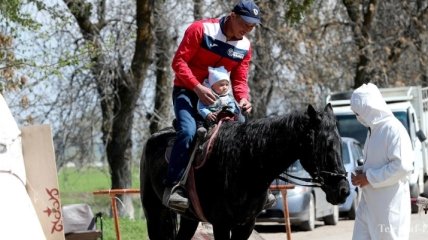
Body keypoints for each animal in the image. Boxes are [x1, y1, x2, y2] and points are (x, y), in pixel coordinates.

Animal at [142, 103, 350, 240]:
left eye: (340, 143)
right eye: (327, 145)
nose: (343, 190)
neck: (245, 165)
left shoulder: (246, 225)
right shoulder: (221, 224)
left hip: (189, 219)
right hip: (154, 213)